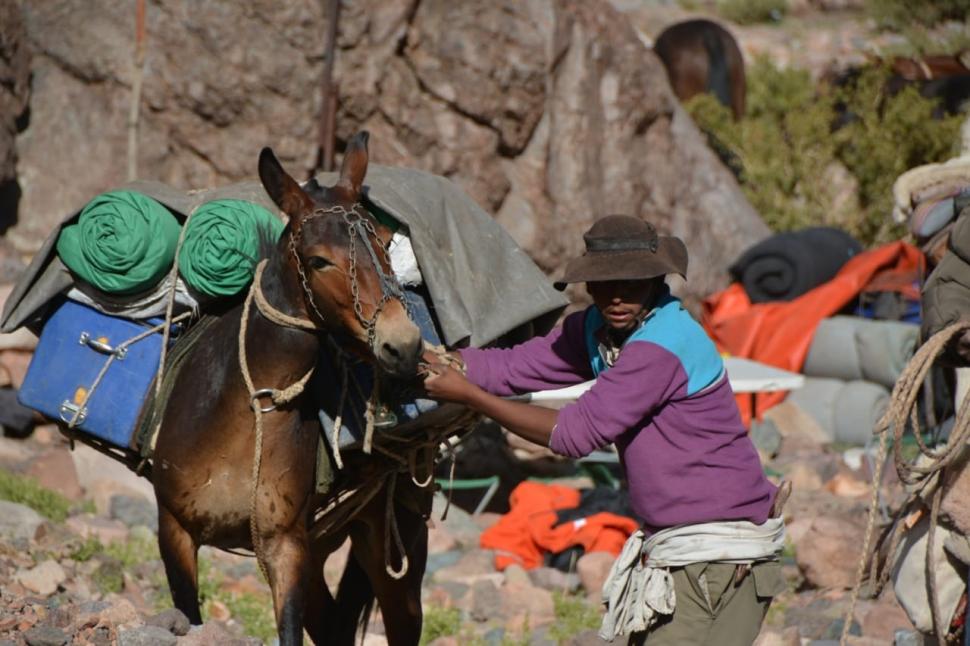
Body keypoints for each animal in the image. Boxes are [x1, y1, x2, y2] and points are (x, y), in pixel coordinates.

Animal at [151, 133, 428, 646]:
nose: (403, 345)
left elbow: (290, 629)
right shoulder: (174, 529)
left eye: (385, 243)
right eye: (319, 261)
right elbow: (189, 613)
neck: (248, 415)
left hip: (393, 538)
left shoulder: (286, 545)